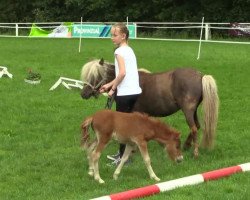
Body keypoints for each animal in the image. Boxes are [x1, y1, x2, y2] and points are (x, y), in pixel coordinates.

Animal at [80, 59, 219, 158]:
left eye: (95, 76)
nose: (84, 93)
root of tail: (201, 76)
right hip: (193, 111)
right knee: (197, 126)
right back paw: (186, 145)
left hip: (188, 110)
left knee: (194, 128)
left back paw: (195, 153)